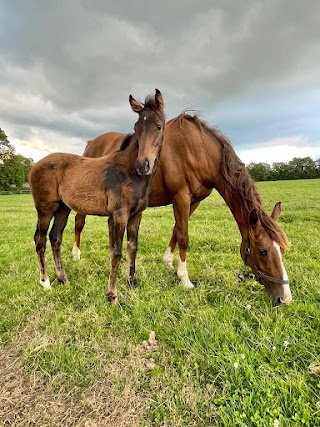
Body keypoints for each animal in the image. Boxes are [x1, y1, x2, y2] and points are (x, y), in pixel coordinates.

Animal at [28, 89, 165, 304]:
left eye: (158, 126)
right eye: (136, 127)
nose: (143, 165)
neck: (130, 173)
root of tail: (34, 166)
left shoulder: (136, 215)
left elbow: (132, 247)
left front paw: (131, 283)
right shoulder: (118, 215)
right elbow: (116, 252)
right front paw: (112, 295)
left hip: (63, 209)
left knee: (55, 238)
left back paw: (63, 278)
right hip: (45, 209)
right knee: (39, 239)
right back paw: (45, 282)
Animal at [73, 112, 292, 306]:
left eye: (281, 249)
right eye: (262, 251)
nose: (285, 298)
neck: (196, 150)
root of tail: (91, 143)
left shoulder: (194, 201)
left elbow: (177, 230)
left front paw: (168, 261)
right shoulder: (181, 196)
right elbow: (184, 237)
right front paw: (184, 279)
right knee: (79, 223)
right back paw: (76, 255)